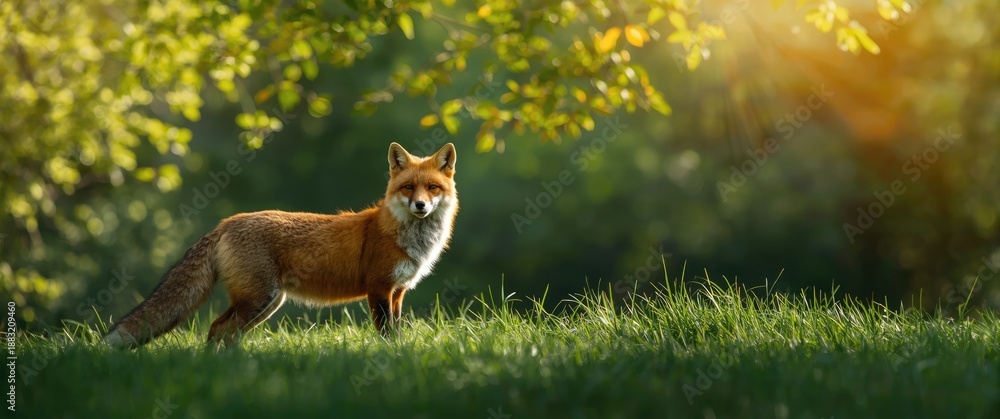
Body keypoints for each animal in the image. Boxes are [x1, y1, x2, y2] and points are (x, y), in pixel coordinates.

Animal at [103, 142, 459, 348]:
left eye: (432, 188)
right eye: (409, 187)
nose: (420, 206)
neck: (408, 237)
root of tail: (227, 222)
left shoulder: (397, 291)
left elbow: (396, 330)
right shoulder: (379, 288)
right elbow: (387, 335)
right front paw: (392, 357)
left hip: (266, 302)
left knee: (224, 332)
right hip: (258, 299)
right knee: (219, 329)